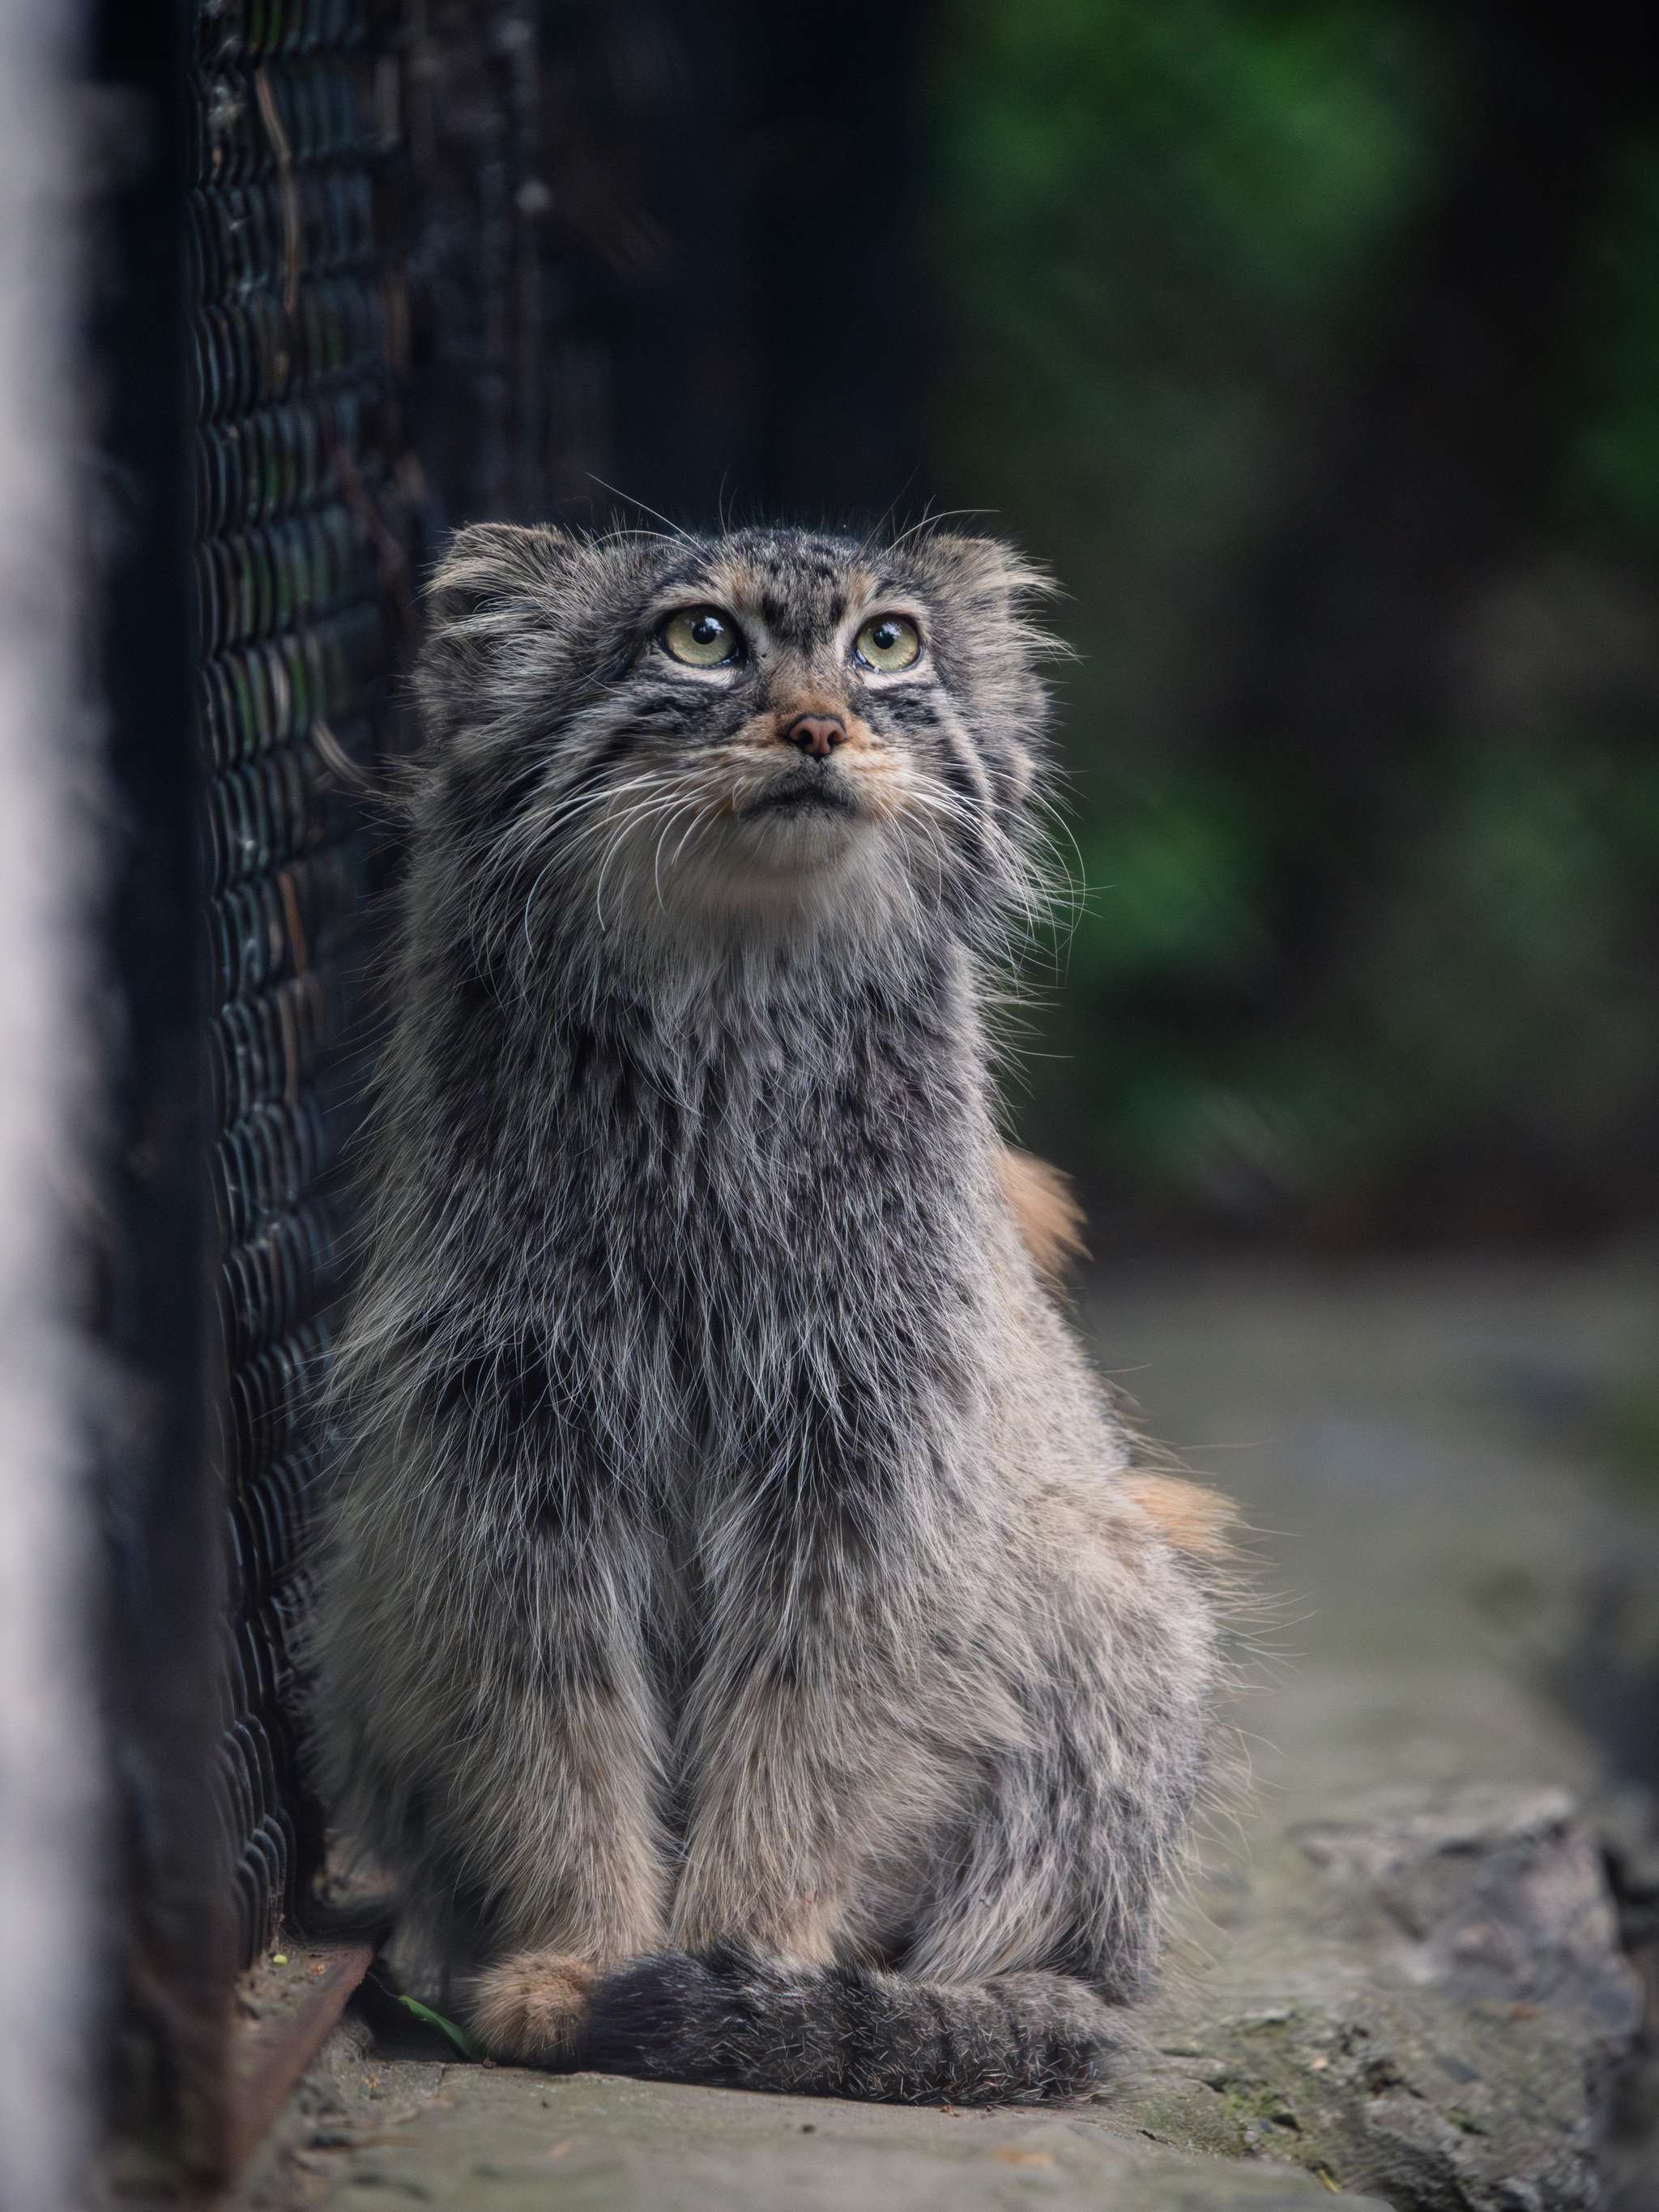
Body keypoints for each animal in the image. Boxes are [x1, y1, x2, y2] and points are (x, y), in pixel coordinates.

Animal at [313, 526, 1239, 2097]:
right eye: (698, 638)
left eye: (887, 644)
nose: (819, 725)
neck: (725, 1029)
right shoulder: (508, 1447)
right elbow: (552, 1719)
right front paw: (576, 1955)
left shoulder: (873, 1462)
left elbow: (814, 1727)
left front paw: (742, 1959)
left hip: (1121, 1609)